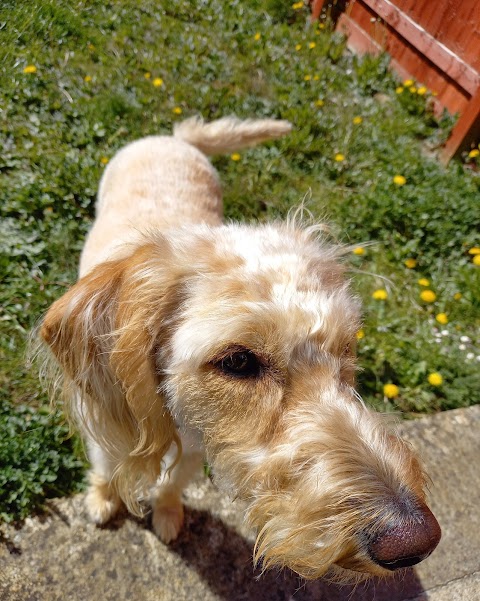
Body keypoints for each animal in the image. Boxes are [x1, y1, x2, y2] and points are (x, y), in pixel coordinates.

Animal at [39, 115, 440, 580]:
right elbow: (106, 469)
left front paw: (168, 513)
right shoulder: (106, 425)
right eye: (238, 360)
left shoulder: (199, 446)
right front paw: (103, 499)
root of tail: (176, 139)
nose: (414, 542)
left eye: (346, 348)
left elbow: (171, 484)